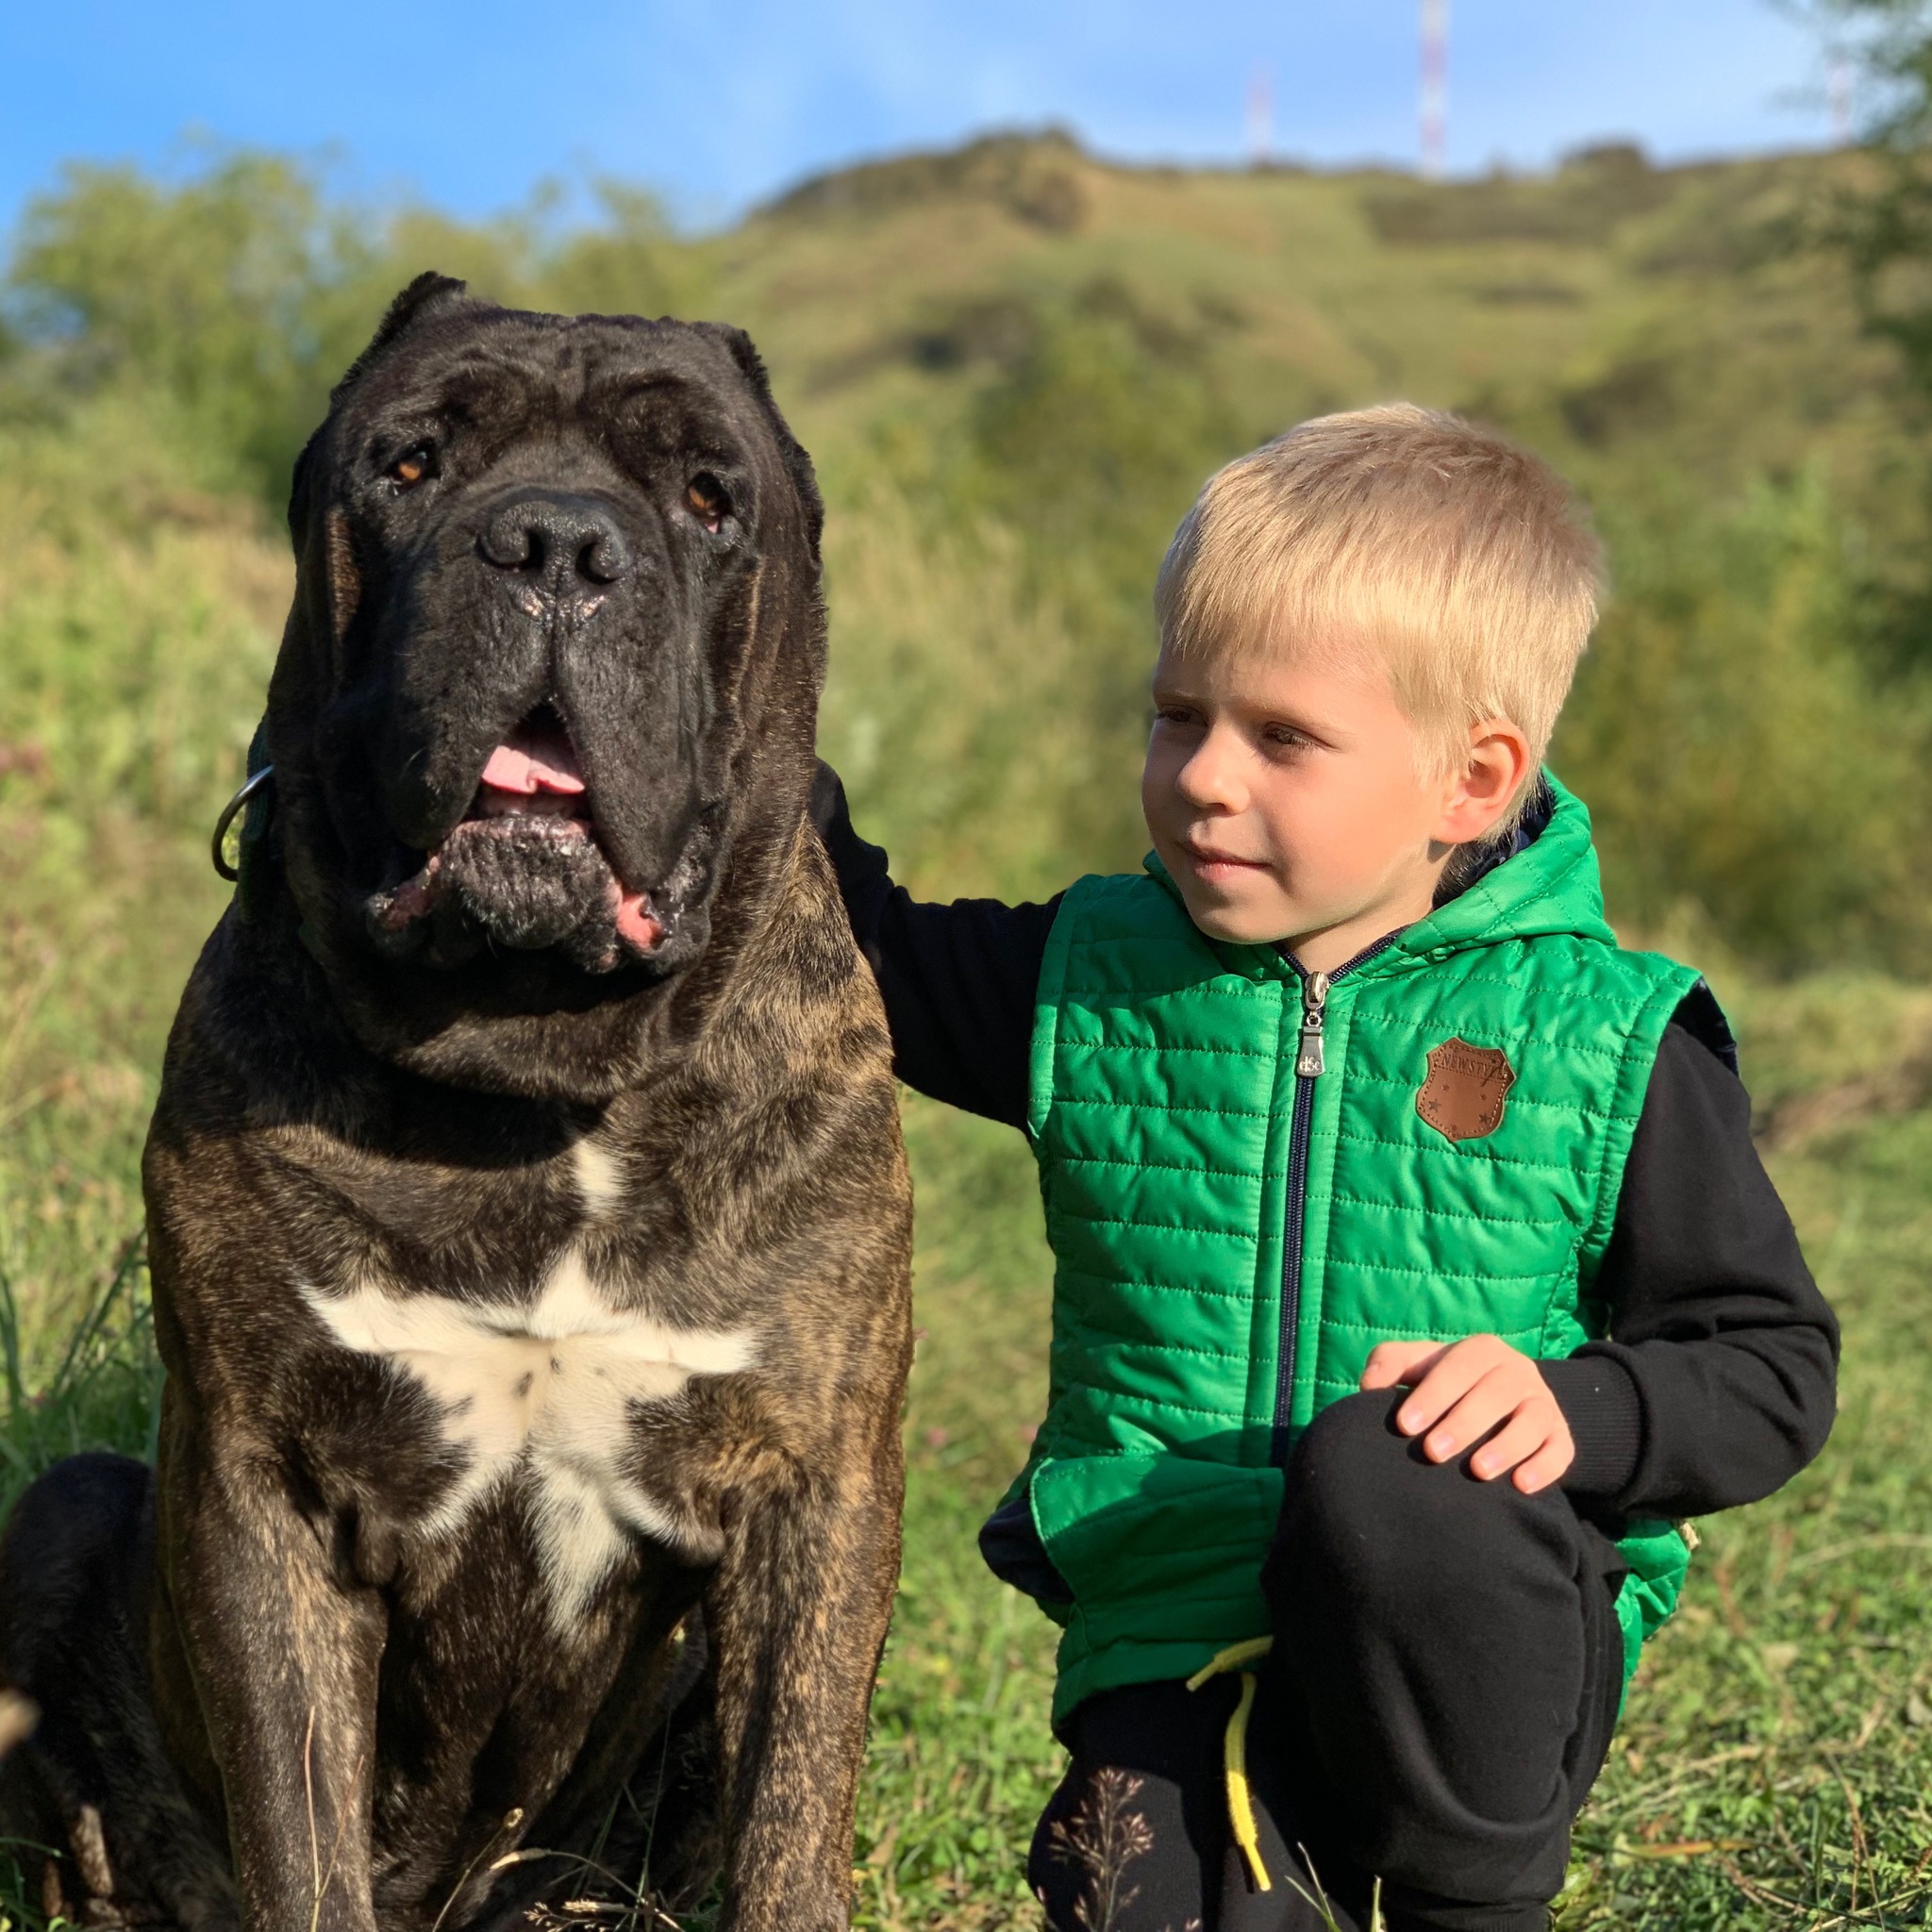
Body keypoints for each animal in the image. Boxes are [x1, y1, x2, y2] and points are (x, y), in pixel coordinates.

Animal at [0, 275, 915, 1932]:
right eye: (411, 464)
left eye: (708, 497)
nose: (555, 545)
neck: (535, 1072)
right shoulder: (267, 1493)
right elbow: (300, 1834)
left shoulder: (817, 1492)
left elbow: (790, 1816)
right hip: (69, 1510)